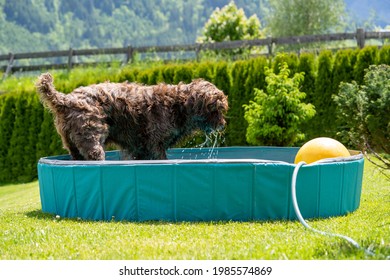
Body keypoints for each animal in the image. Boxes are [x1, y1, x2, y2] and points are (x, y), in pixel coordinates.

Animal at [36, 72, 229, 160]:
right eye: (216, 110)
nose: (223, 125)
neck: (178, 105)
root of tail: (66, 100)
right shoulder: (155, 144)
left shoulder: (140, 148)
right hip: (90, 137)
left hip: (71, 143)